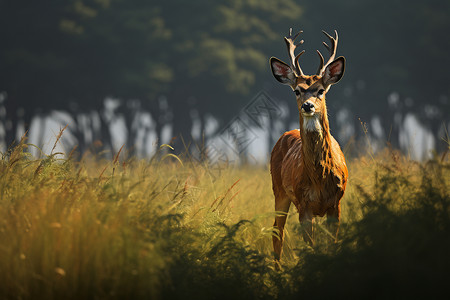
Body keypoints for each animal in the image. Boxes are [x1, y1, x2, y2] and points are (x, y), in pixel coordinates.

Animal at [268, 28, 350, 262]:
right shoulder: (304, 205)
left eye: (321, 90)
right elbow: (310, 248)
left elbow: (332, 245)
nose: (308, 105)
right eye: (297, 90)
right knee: (276, 231)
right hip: (279, 190)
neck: (320, 178)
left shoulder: (336, 203)